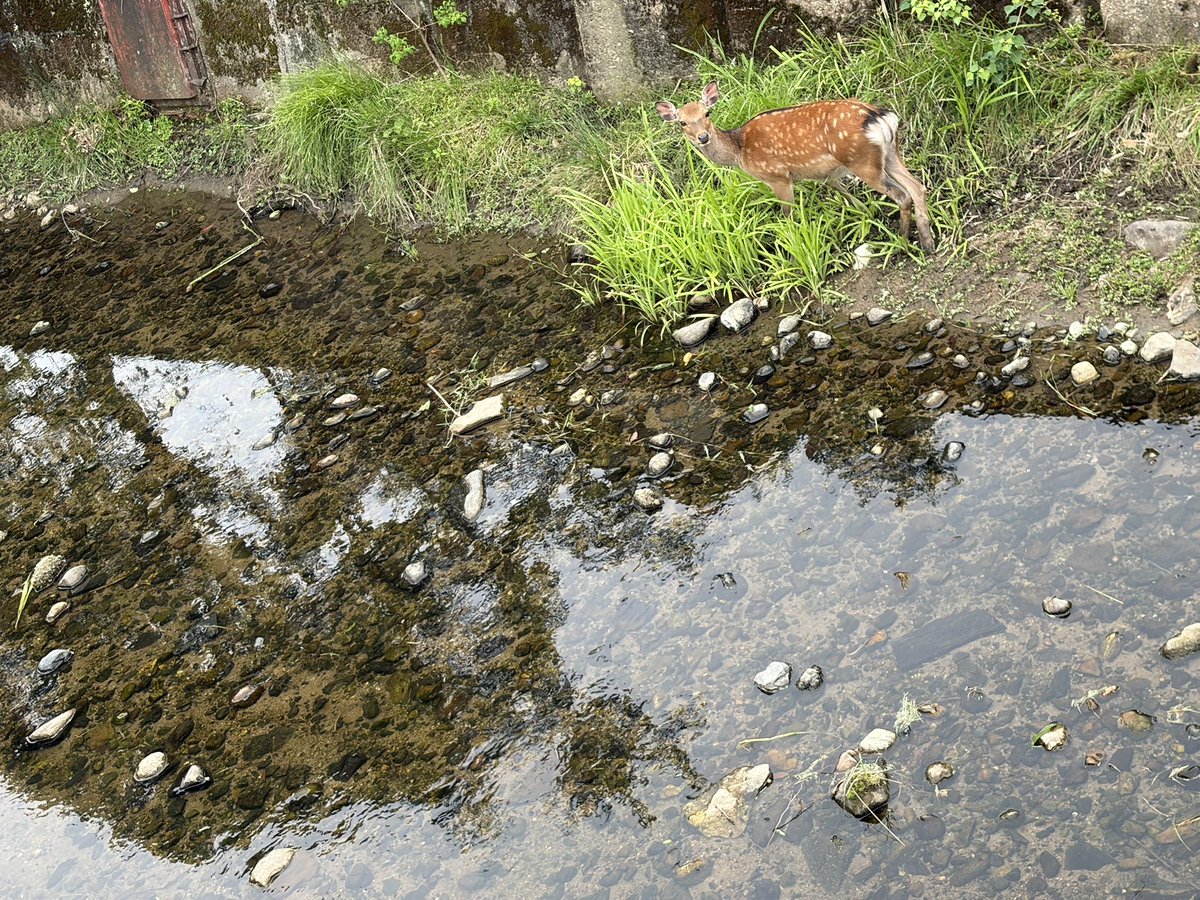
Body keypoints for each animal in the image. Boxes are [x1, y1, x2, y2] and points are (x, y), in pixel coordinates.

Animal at [656, 81, 935, 252]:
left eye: (707, 114)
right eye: (682, 122)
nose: (702, 137)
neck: (740, 151)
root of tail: (880, 117)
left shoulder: (778, 176)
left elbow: (788, 217)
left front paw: (792, 249)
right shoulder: (825, 174)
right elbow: (845, 194)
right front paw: (865, 214)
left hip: (863, 161)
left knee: (902, 194)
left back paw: (901, 239)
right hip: (890, 154)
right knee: (917, 187)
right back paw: (927, 242)